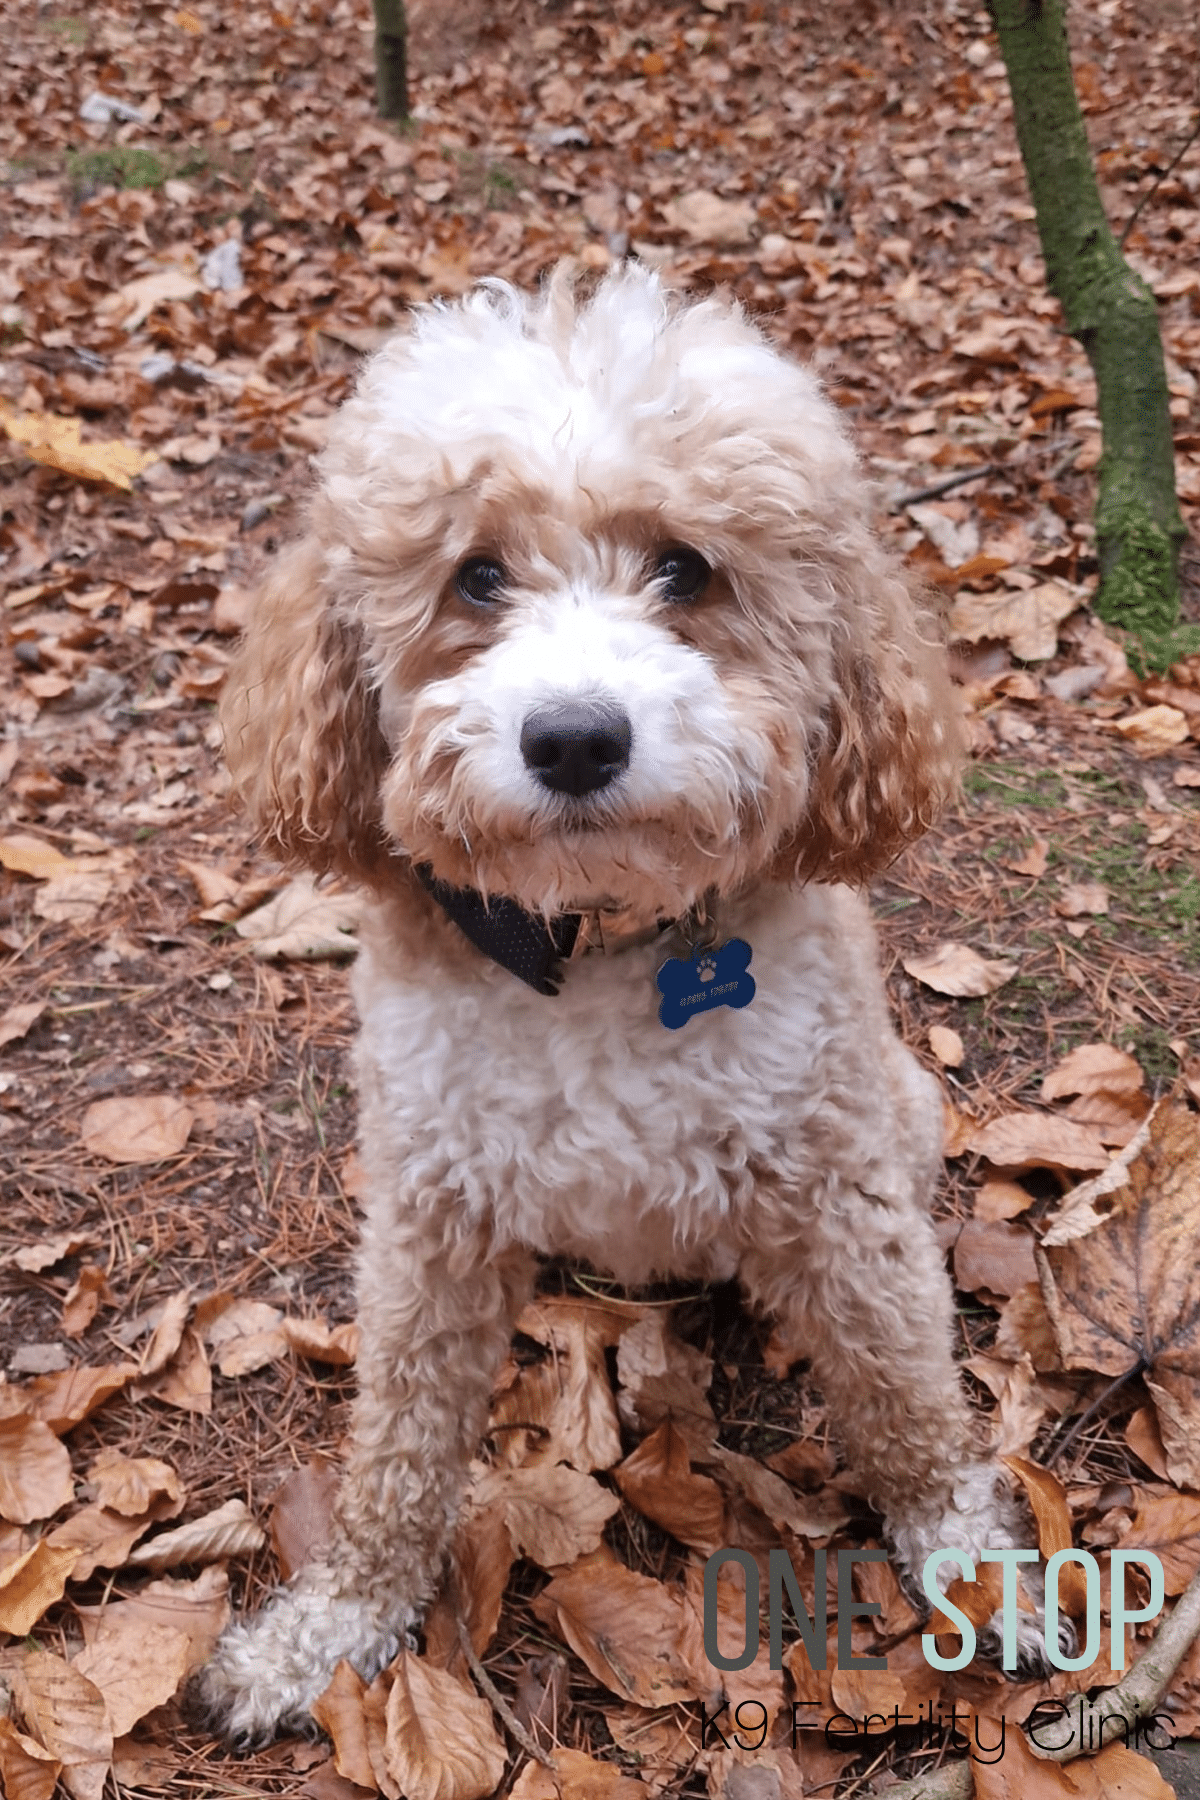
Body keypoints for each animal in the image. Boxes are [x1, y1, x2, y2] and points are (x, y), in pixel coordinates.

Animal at [199, 266, 1057, 1742]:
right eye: (478, 575)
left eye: (686, 570)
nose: (575, 738)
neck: (597, 941)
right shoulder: (429, 1213)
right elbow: (397, 1449)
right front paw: (332, 1630)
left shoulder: (837, 1185)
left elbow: (902, 1392)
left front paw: (970, 1565)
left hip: (900, 1105)